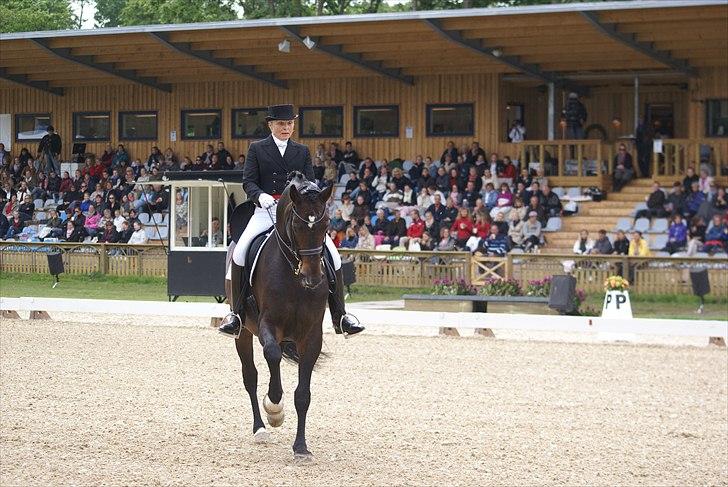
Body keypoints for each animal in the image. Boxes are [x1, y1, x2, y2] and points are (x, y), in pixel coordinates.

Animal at [235, 176, 334, 462]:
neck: (293, 276)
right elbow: (272, 355)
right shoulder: (268, 325)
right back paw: (260, 428)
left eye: (326, 224)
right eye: (298, 225)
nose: (313, 278)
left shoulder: (311, 336)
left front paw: (301, 447)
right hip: (243, 332)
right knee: (251, 376)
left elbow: (303, 395)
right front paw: (274, 407)